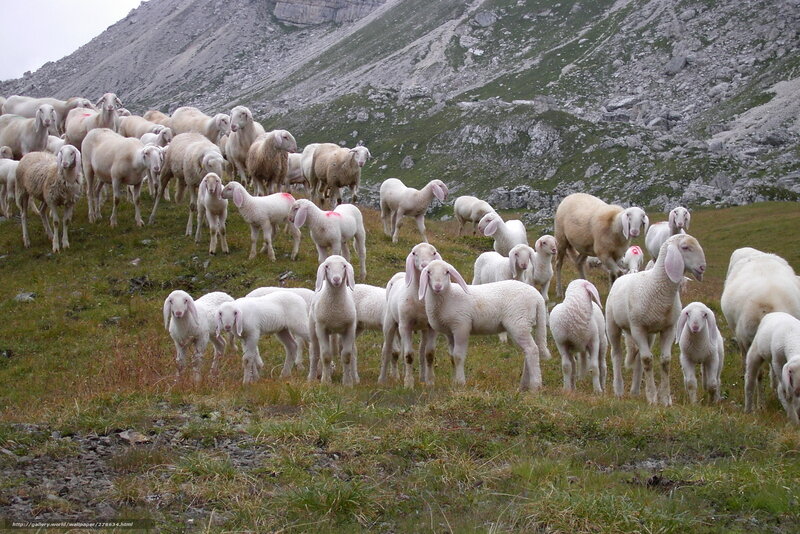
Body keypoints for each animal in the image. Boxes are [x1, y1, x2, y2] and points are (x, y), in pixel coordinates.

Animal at [308, 255, 358, 385]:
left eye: (344, 266)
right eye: (327, 266)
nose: (336, 279)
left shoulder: (350, 328)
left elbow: (347, 356)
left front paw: (347, 382)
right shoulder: (321, 328)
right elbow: (325, 356)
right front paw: (326, 381)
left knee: (352, 353)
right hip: (313, 329)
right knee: (315, 353)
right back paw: (311, 377)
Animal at [379, 243, 442, 388]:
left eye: (434, 252)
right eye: (414, 253)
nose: (425, 265)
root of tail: (398, 275)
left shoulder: (432, 328)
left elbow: (429, 354)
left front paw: (430, 382)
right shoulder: (405, 326)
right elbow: (408, 355)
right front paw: (408, 384)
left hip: (423, 329)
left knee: (421, 352)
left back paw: (422, 378)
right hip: (390, 322)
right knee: (387, 350)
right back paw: (382, 379)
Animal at [418, 260, 550, 390]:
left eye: (447, 272)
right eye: (429, 272)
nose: (437, 287)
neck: (448, 297)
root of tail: (538, 298)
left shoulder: (461, 326)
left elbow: (458, 356)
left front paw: (460, 383)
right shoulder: (450, 332)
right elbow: (452, 357)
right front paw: (454, 382)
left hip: (519, 323)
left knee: (532, 350)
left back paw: (535, 386)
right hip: (522, 325)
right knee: (528, 351)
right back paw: (523, 386)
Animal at [605, 234, 706, 405]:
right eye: (685, 247)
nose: (702, 268)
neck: (656, 287)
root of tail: (624, 276)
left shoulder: (669, 328)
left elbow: (665, 361)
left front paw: (665, 399)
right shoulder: (638, 328)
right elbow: (647, 360)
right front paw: (652, 397)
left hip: (649, 333)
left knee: (638, 357)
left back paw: (635, 390)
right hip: (613, 325)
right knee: (617, 354)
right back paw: (618, 389)